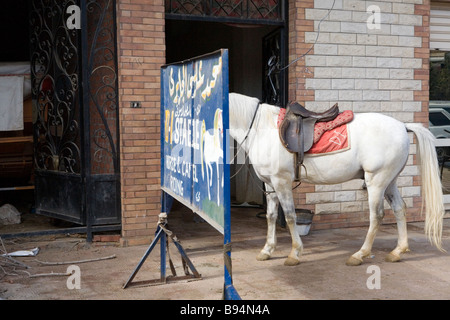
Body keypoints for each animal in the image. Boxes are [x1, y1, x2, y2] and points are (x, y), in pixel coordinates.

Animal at [230, 93, 444, 268]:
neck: (260, 129)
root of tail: (402, 126)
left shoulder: (281, 182)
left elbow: (290, 216)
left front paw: (294, 253)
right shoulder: (270, 183)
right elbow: (271, 216)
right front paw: (267, 250)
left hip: (376, 182)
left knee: (377, 216)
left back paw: (360, 255)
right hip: (389, 182)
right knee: (400, 209)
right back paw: (398, 251)